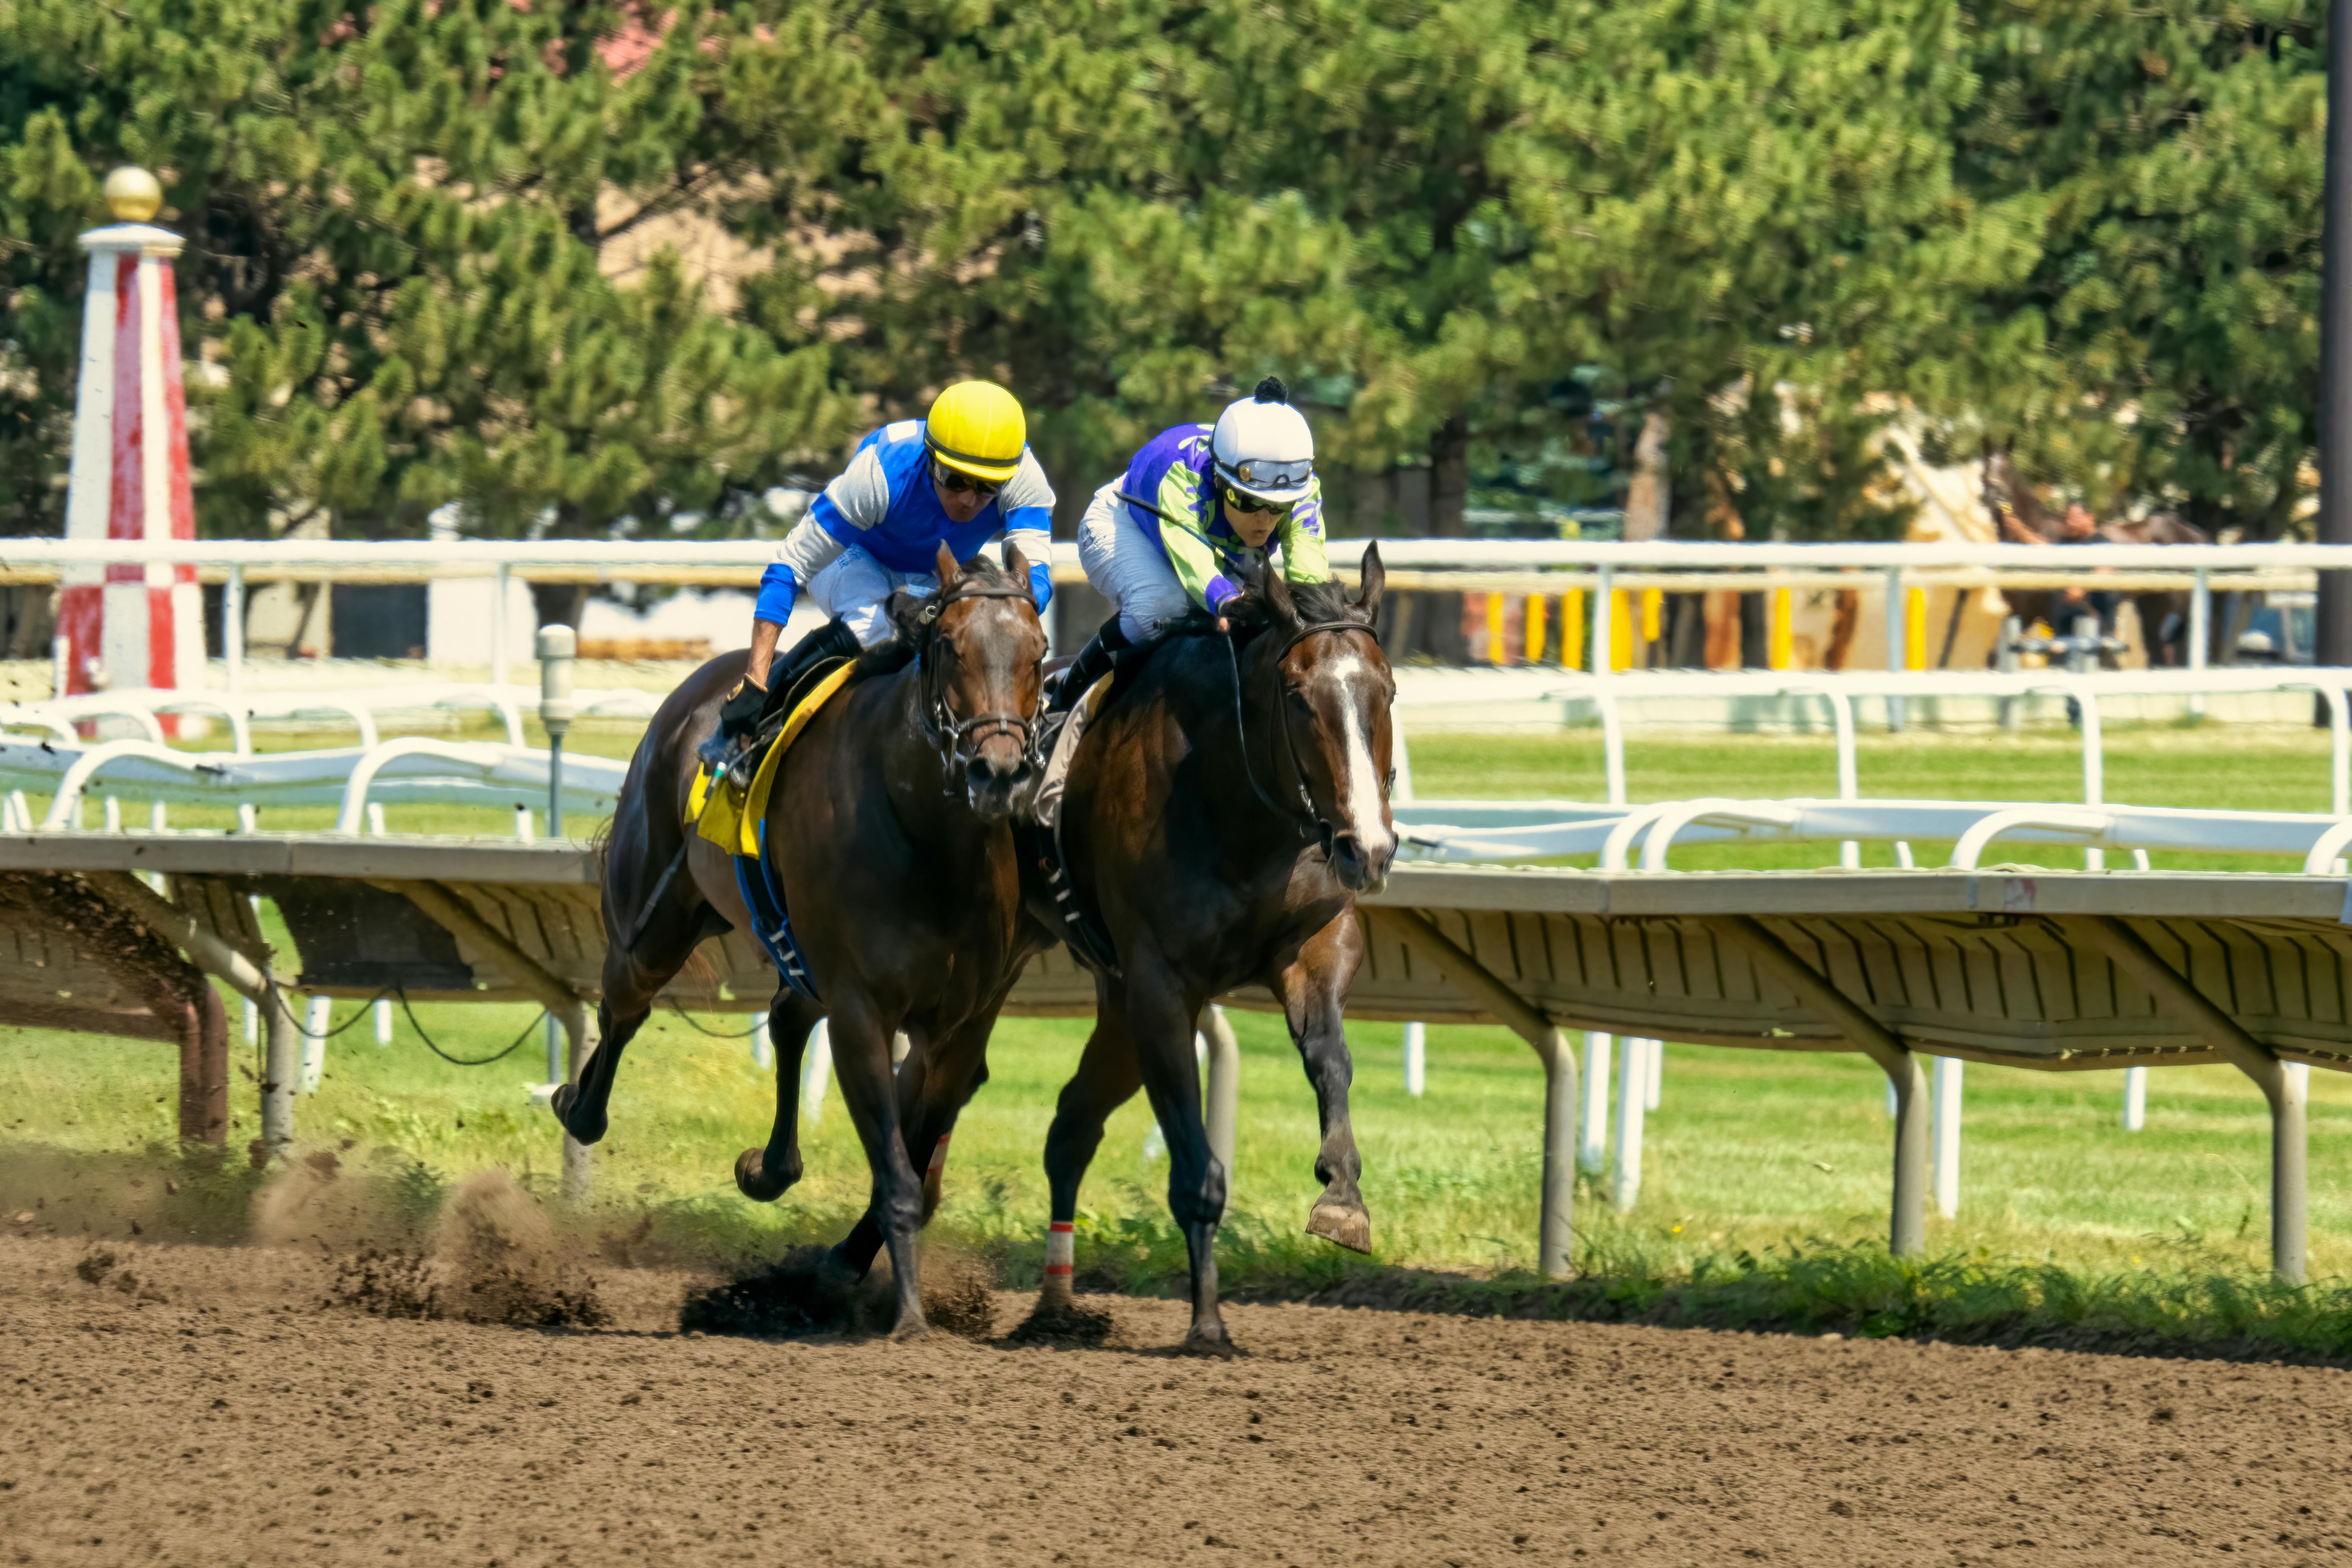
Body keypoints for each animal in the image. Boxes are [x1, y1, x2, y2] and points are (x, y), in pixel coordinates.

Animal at [555, 545, 1044, 1344]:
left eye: (1037, 650)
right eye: (949, 647)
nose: (996, 772)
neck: (930, 838)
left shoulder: (965, 1020)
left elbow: (916, 1157)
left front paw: (853, 1275)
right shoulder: (861, 1008)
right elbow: (898, 1174)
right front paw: (909, 1318)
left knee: (786, 1015)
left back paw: (768, 1168)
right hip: (658, 908)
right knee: (624, 1000)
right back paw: (577, 1101)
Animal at [1030, 550, 1392, 1354]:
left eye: (1385, 689)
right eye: (1297, 697)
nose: (1370, 849)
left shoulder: (1313, 944)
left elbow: (1333, 1060)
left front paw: (1343, 1197)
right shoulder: (1162, 986)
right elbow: (1197, 1165)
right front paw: (1206, 1320)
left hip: (1113, 1004)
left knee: (1070, 1123)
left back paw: (1054, 1305)